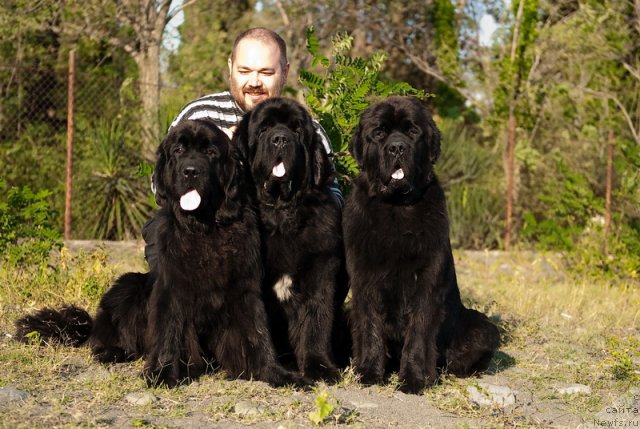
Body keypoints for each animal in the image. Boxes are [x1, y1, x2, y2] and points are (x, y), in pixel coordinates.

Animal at [14, 118, 304, 388]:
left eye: (211, 152)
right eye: (178, 150)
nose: (190, 171)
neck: (204, 230)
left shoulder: (244, 289)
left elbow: (258, 334)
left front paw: (276, 373)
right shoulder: (171, 289)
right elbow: (168, 332)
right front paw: (162, 374)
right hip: (127, 284)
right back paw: (111, 351)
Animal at [232, 98, 348, 382]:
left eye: (296, 130)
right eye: (263, 129)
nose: (280, 139)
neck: (280, 211)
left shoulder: (319, 273)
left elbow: (315, 323)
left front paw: (320, 367)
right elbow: (256, 329)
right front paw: (273, 371)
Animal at [344, 97, 500, 394]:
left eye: (413, 132)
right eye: (379, 133)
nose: (397, 147)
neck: (396, 208)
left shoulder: (427, 281)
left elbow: (419, 331)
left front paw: (415, 379)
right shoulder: (365, 280)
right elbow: (370, 327)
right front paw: (368, 372)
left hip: (482, 327)